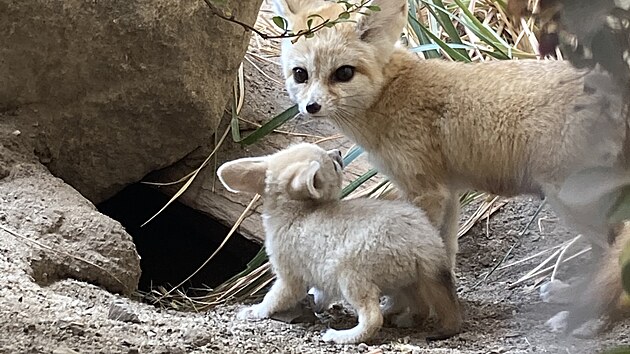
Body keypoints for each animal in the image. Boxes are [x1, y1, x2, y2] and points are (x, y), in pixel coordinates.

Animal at [220, 143, 462, 342]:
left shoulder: (290, 279)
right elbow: (319, 292)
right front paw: (317, 304)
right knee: (421, 307)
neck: (297, 212)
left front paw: (255, 311)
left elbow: (273, 299)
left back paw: (342, 336)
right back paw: (405, 320)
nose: (338, 152)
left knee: (373, 318)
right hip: (407, 280)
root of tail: (424, 240)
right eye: (335, 167)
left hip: (351, 277)